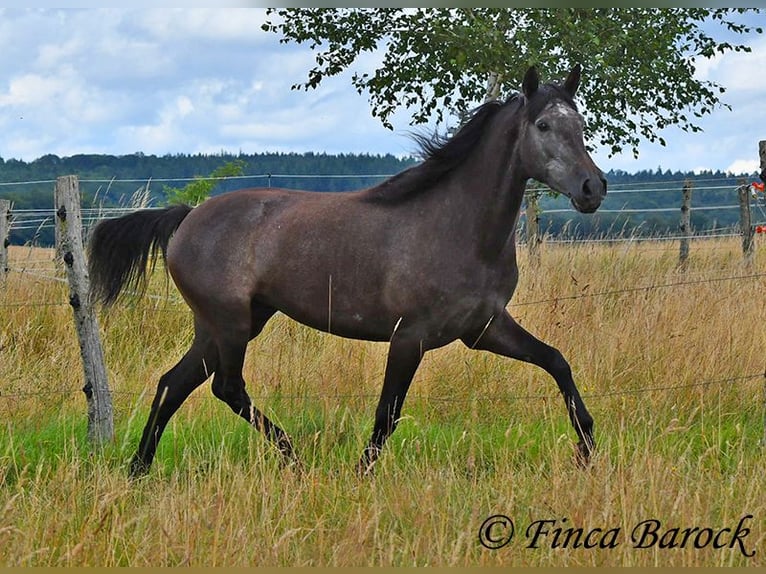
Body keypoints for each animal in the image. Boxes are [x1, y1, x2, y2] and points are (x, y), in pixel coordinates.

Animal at [88, 65, 608, 476]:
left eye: (581, 123)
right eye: (543, 124)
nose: (593, 188)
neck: (457, 228)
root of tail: (187, 217)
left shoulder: (485, 328)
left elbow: (557, 361)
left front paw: (587, 448)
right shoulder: (410, 337)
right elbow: (388, 413)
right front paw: (361, 474)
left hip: (227, 323)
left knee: (173, 384)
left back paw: (139, 469)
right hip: (230, 322)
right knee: (226, 386)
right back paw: (292, 457)